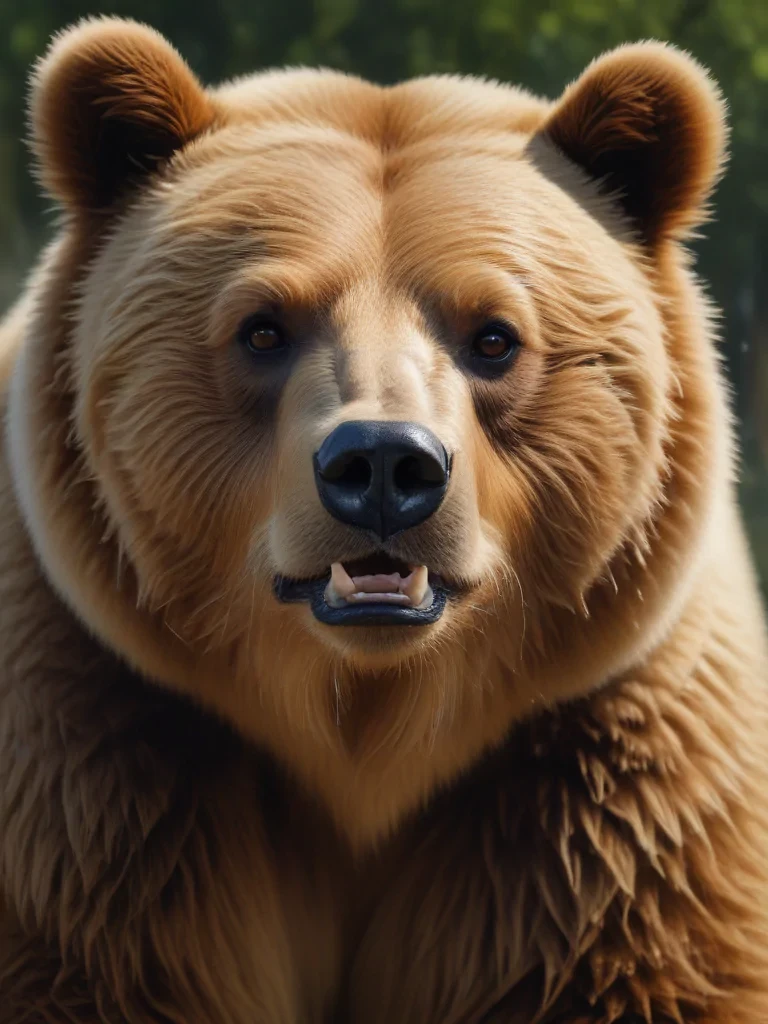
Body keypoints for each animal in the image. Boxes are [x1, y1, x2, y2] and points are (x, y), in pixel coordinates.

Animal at [1, 14, 767, 1023]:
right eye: (262, 327)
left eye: (494, 336)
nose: (381, 468)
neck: (364, 731)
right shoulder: (90, 761)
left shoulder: (607, 796)